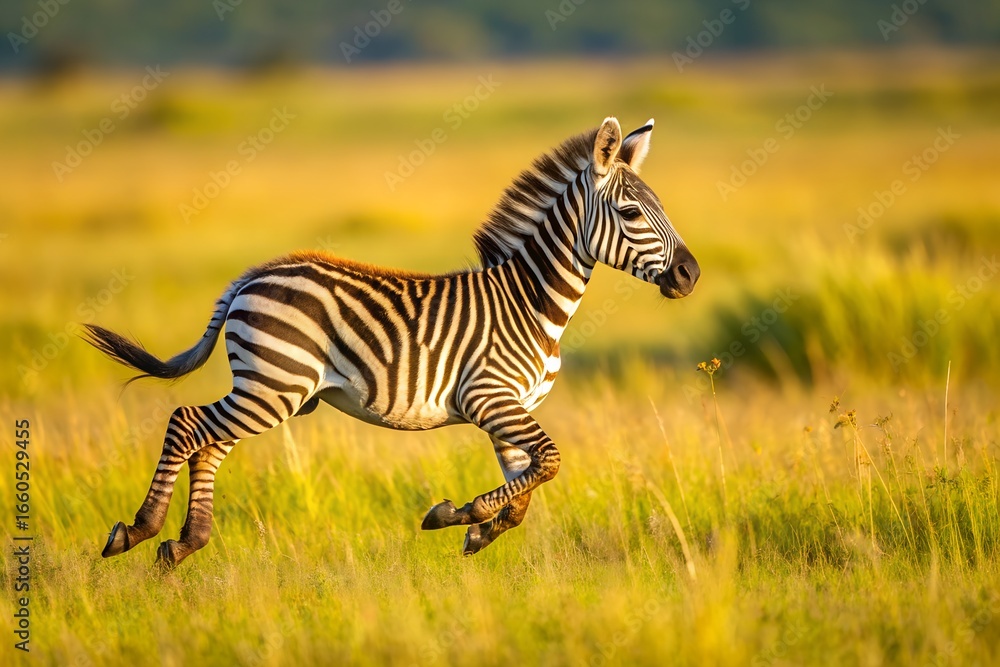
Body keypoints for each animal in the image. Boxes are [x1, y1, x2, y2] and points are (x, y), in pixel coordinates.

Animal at [84, 116, 700, 567]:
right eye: (629, 212)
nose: (690, 275)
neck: (530, 302)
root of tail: (255, 274)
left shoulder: (511, 408)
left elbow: (526, 486)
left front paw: (478, 529)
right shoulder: (489, 399)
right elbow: (547, 463)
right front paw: (456, 514)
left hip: (270, 389)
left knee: (208, 442)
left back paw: (185, 543)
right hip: (275, 383)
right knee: (188, 424)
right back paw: (140, 530)